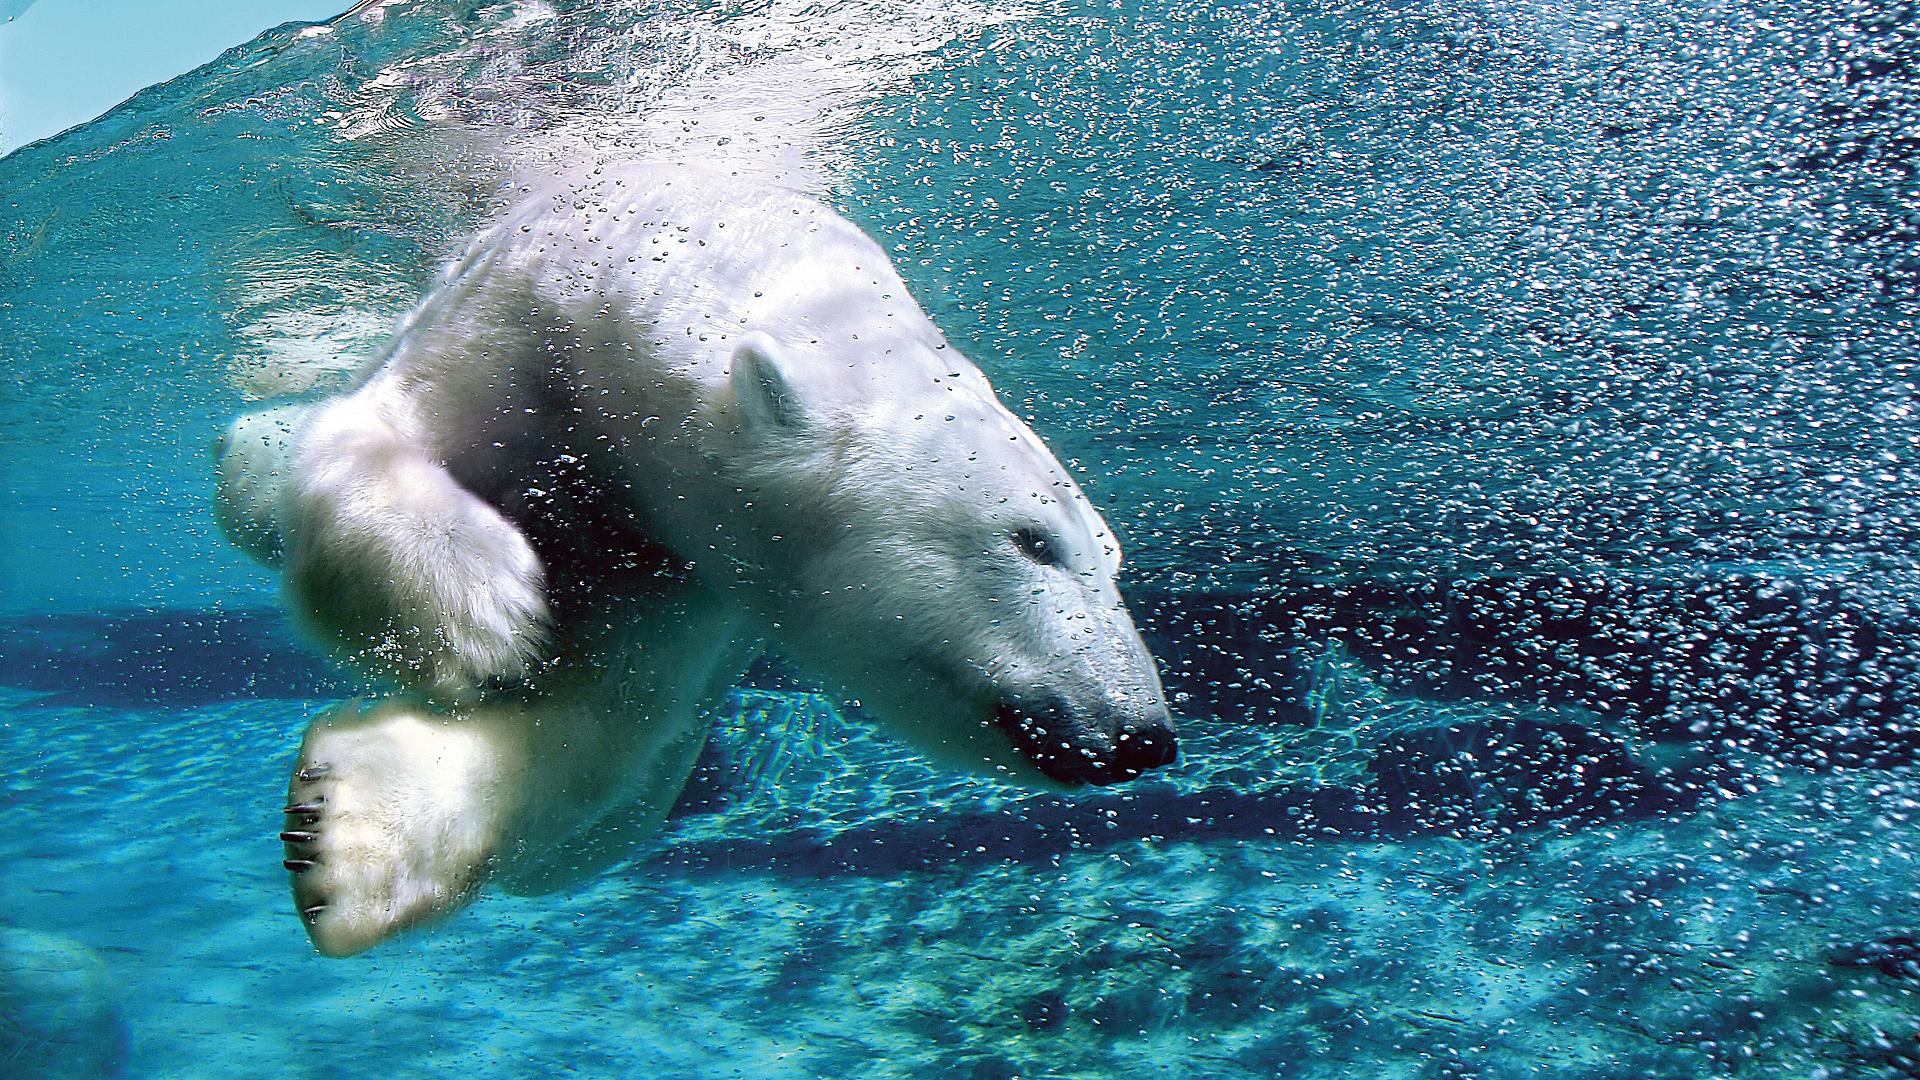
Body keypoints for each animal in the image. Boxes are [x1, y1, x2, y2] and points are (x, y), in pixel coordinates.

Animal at [214, 164, 1167, 953]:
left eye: (1113, 559)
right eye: (1032, 540)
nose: (1142, 736)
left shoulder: (696, 574)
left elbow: (608, 715)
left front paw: (341, 832)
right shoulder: (518, 324)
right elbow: (376, 434)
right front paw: (485, 609)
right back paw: (249, 453)